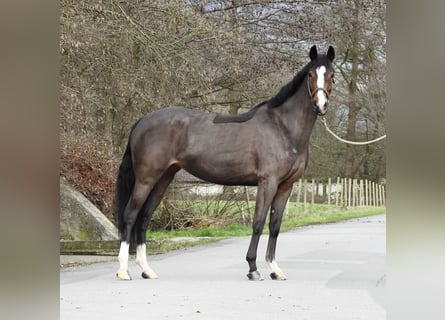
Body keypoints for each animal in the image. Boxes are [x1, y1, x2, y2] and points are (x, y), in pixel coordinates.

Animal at [114, 45, 332, 280]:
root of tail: (142, 121)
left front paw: (275, 269)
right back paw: (123, 270)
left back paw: (146, 269)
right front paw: (253, 268)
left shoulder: (286, 186)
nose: (320, 105)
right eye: (311, 75)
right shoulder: (268, 183)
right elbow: (258, 222)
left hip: (163, 178)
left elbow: (275, 225)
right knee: (130, 216)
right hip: (146, 179)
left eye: (331, 75)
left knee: (144, 217)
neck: (282, 127)